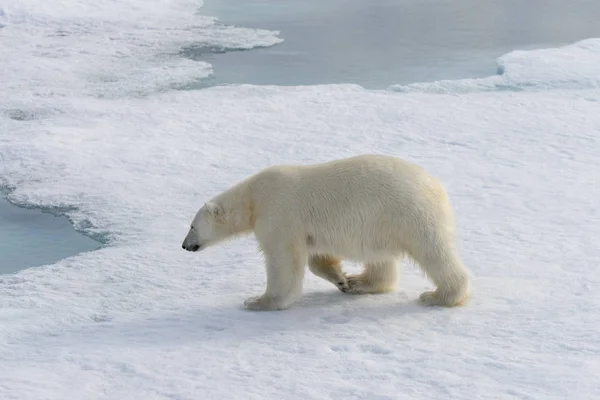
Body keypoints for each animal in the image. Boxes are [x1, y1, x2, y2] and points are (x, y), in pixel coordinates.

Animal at [180, 155, 472, 310]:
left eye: (192, 226)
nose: (184, 245)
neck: (254, 198)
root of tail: (436, 187)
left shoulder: (279, 214)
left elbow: (282, 259)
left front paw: (259, 301)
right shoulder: (308, 229)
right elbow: (317, 257)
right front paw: (342, 280)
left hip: (408, 212)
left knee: (432, 251)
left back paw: (438, 296)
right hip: (380, 222)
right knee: (380, 256)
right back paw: (361, 282)